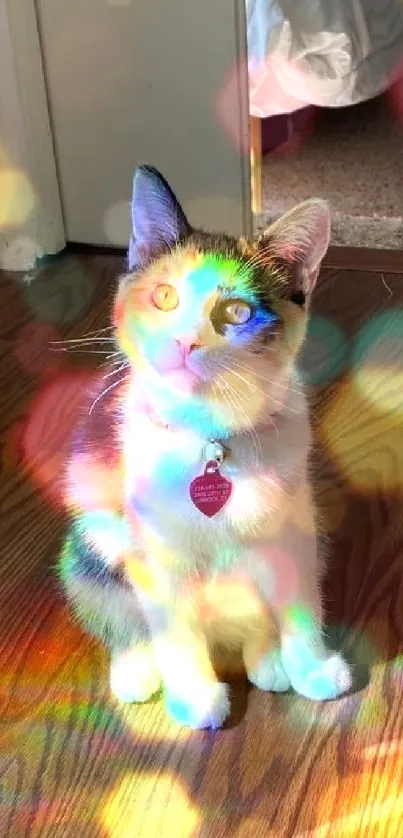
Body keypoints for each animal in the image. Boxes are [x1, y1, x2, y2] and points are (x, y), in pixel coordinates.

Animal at [58, 164, 352, 728]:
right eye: (164, 297)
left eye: (238, 312)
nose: (185, 342)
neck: (211, 438)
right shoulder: (154, 550)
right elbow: (175, 630)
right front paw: (195, 696)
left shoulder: (295, 527)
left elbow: (300, 603)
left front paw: (312, 669)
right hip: (91, 541)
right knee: (117, 610)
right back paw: (136, 668)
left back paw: (268, 658)